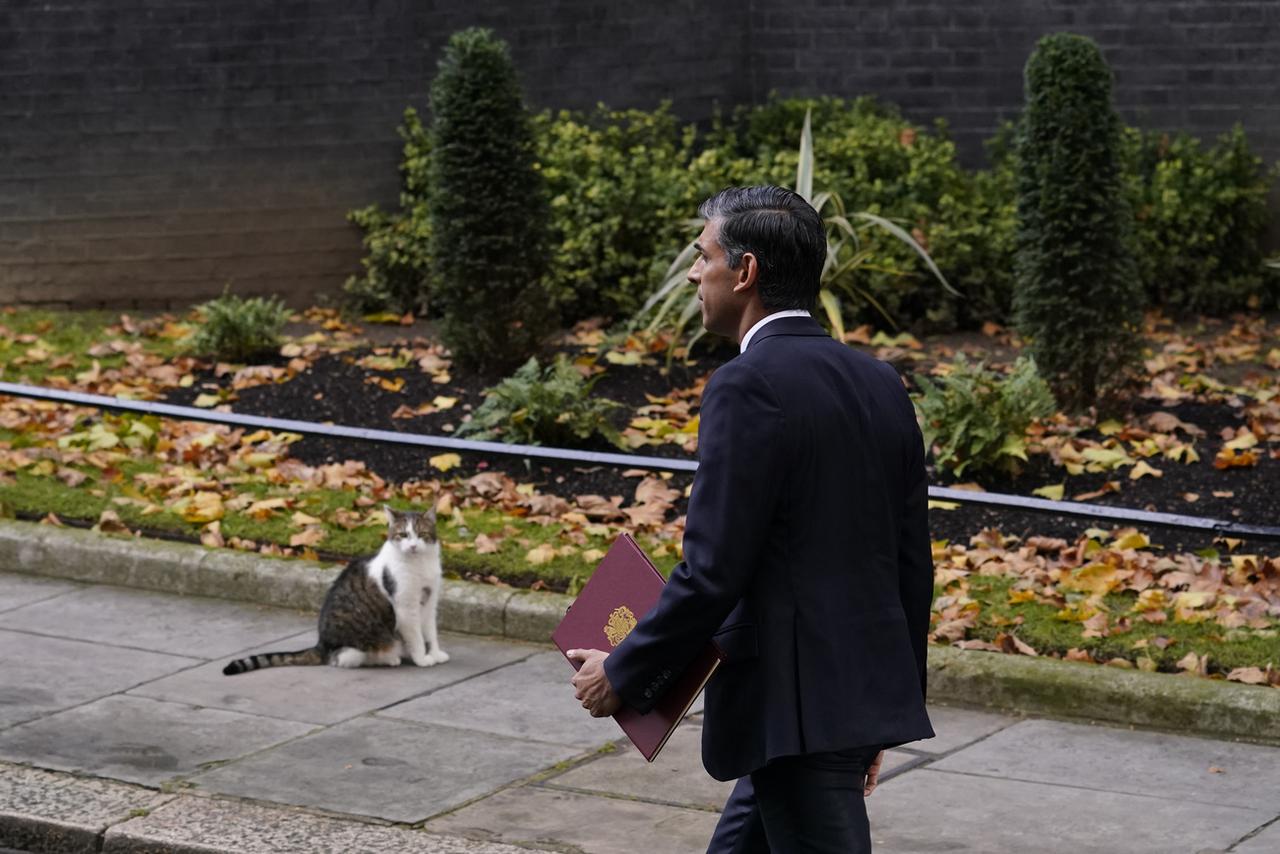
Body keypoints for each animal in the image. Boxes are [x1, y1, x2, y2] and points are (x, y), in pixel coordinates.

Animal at [225, 504, 450, 676]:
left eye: (421, 534)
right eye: (403, 535)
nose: (412, 546)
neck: (420, 565)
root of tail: (321, 645)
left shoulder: (430, 603)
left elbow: (431, 633)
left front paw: (435, 654)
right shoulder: (405, 608)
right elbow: (417, 637)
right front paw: (422, 658)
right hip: (360, 646)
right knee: (344, 659)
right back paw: (389, 658)